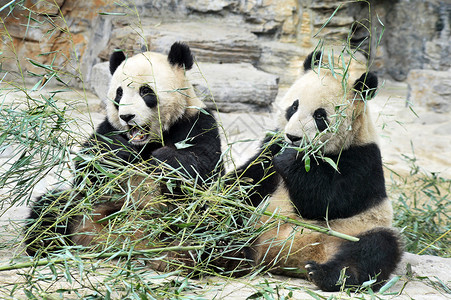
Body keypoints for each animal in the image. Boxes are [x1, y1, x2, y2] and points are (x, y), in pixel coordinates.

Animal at [24, 41, 222, 258]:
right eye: (119, 93)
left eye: (145, 91)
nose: (127, 116)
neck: (147, 142)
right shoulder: (108, 127)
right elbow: (87, 169)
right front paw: (118, 151)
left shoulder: (197, 122)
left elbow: (203, 168)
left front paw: (163, 159)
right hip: (84, 209)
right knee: (52, 207)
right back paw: (46, 244)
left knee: (208, 222)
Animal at [238, 51, 404, 290]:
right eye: (293, 107)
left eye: (319, 116)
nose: (293, 137)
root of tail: (286, 257)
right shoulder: (272, 145)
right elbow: (249, 178)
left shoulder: (363, 158)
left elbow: (327, 202)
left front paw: (291, 159)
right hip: (256, 224)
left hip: (355, 231)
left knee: (375, 249)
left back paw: (327, 275)